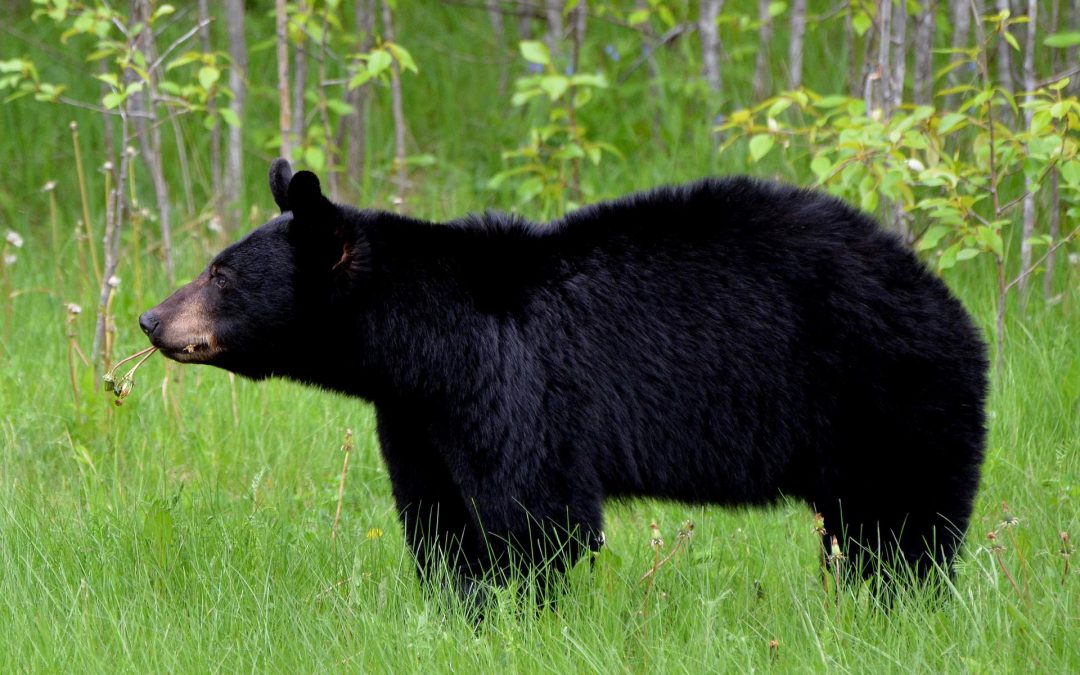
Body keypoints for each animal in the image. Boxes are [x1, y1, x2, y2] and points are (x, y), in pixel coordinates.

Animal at [140, 158, 988, 596]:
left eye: (220, 272)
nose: (151, 319)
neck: (422, 344)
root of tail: (951, 304)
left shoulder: (516, 384)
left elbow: (535, 517)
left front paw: (516, 609)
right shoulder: (415, 413)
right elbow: (439, 517)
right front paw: (457, 606)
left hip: (888, 395)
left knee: (901, 527)